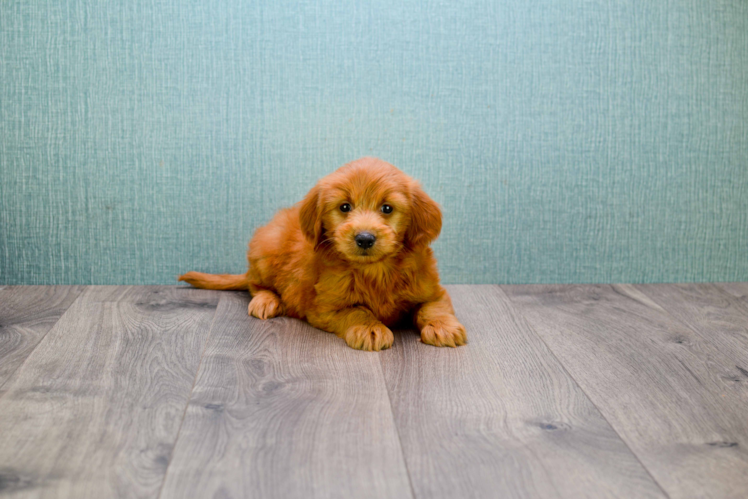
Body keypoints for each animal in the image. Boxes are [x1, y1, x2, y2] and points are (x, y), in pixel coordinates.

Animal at [178, 158, 464, 350]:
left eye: (387, 208)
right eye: (345, 207)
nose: (364, 238)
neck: (375, 271)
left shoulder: (432, 290)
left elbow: (433, 308)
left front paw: (444, 328)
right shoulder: (324, 308)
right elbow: (357, 311)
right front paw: (370, 328)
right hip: (267, 249)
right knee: (254, 284)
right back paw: (266, 301)